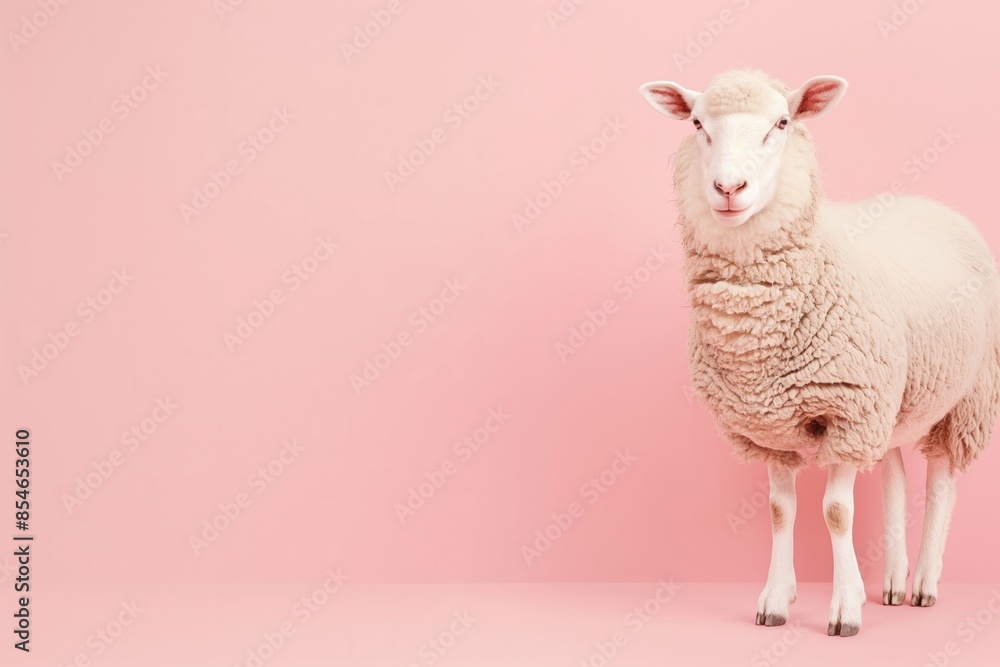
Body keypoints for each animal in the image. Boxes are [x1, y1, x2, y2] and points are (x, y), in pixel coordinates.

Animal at [639, 69, 1000, 637]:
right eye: (697, 124)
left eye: (782, 123)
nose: (728, 189)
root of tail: (930, 203)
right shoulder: (766, 424)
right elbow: (780, 510)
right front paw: (776, 599)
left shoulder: (848, 410)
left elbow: (835, 512)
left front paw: (844, 609)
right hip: (891, 398)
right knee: (894, 473)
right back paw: (891, 582)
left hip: (966, 397)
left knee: (942, 479)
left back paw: (923, 583)